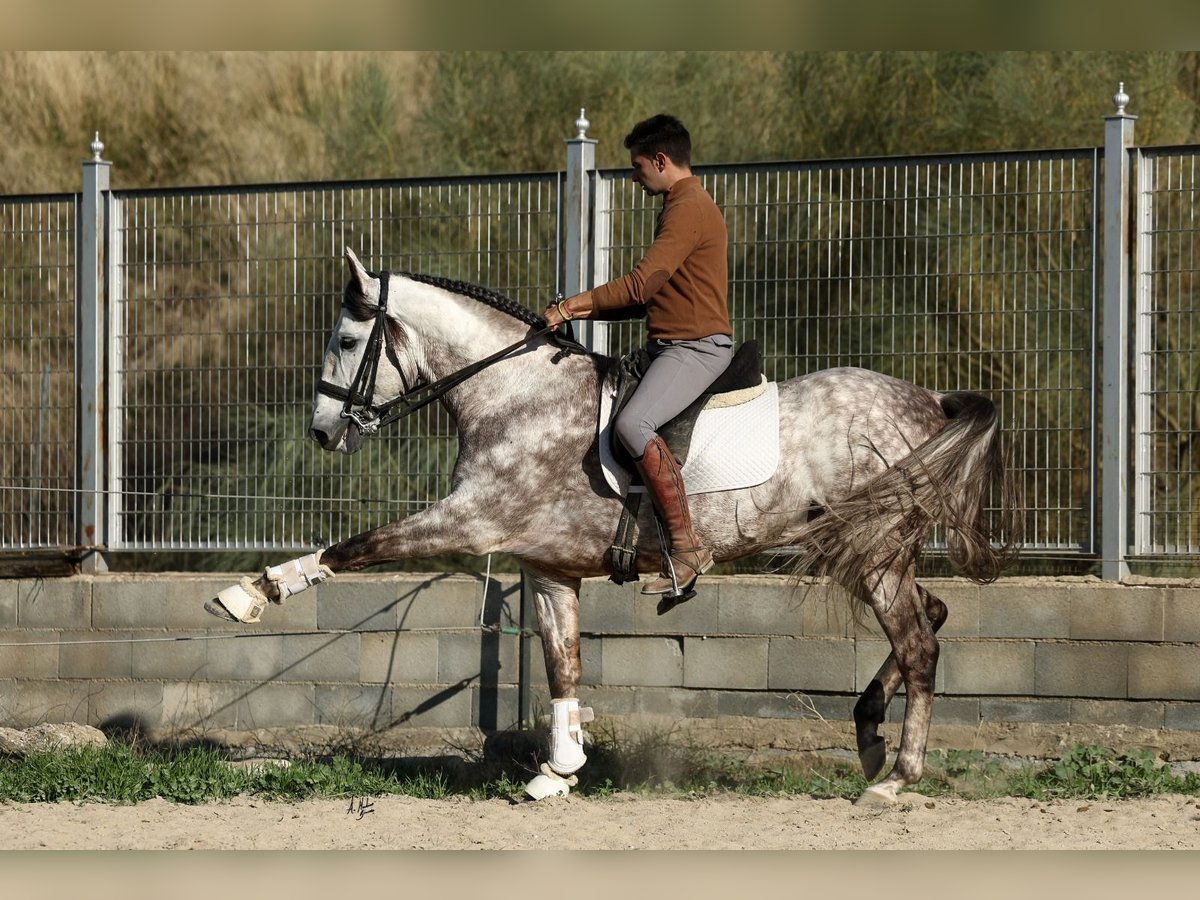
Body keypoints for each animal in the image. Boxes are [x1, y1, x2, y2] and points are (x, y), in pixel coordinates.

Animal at [208, 243, 1022, 806]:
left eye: (348, 342)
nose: (322, 432)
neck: (513, 393)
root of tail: (929, 401)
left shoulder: (470, 522)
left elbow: (359, 546)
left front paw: (252, 593)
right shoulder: (548, 567)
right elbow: (562, 662)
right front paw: (560, 770)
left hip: (875, 552)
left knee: (919, 643)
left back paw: (895, 778)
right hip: (875, 551)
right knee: (932, 616)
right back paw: (869, 731)